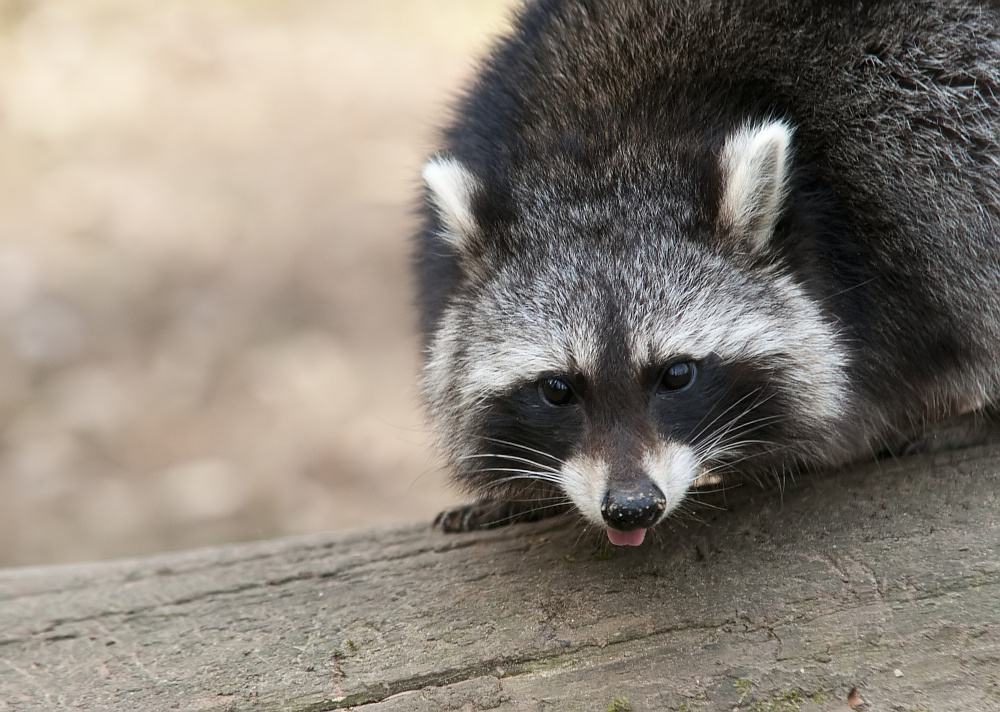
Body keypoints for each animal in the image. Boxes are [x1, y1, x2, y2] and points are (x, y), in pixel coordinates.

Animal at [412, 0, 1000, 552]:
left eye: (677, 374)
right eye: (557, 389)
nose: (631, 508)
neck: (614, 137)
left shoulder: (886, 208)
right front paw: (525, 493)